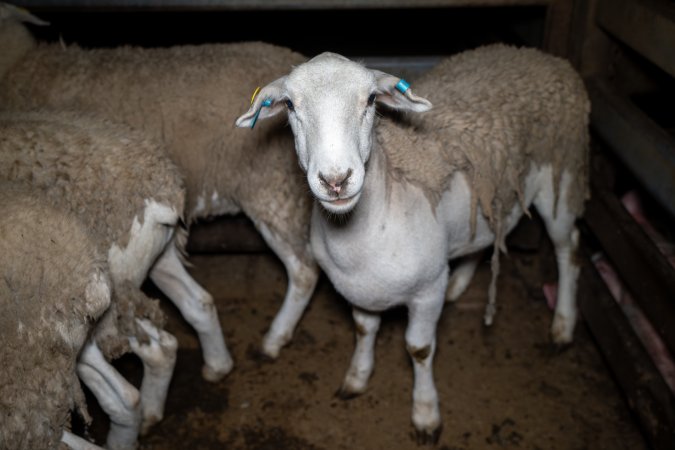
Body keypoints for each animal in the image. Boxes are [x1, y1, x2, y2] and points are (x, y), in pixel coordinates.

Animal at [239, 46, 592, 442]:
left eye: (371, 99)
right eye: (290, 105)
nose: (336, 180)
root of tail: (540, 55)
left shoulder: (426, 291)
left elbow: (419, 349)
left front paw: (425, 413)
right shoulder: (358, 287)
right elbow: (364, 329)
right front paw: (357, 377)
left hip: (562, 177)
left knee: (569, 249)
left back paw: (563, 325)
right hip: (485, 200)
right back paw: (459, 282)